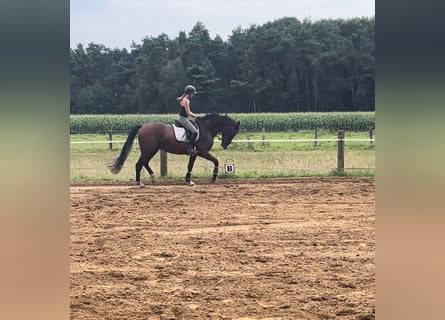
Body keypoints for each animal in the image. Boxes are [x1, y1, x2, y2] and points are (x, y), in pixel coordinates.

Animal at [108, 114, 239, 186]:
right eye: (232, 131)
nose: (224, 144)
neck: (206, 128)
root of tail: (143, 126)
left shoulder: (195, 154)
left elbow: (190, 165)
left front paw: (188, 180)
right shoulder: (201, 152)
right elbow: (216, 161)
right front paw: (213, 178)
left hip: (152, 150)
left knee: (144, 163)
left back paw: (153, 179)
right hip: (149, 150)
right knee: (139, 164)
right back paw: (139, 183)